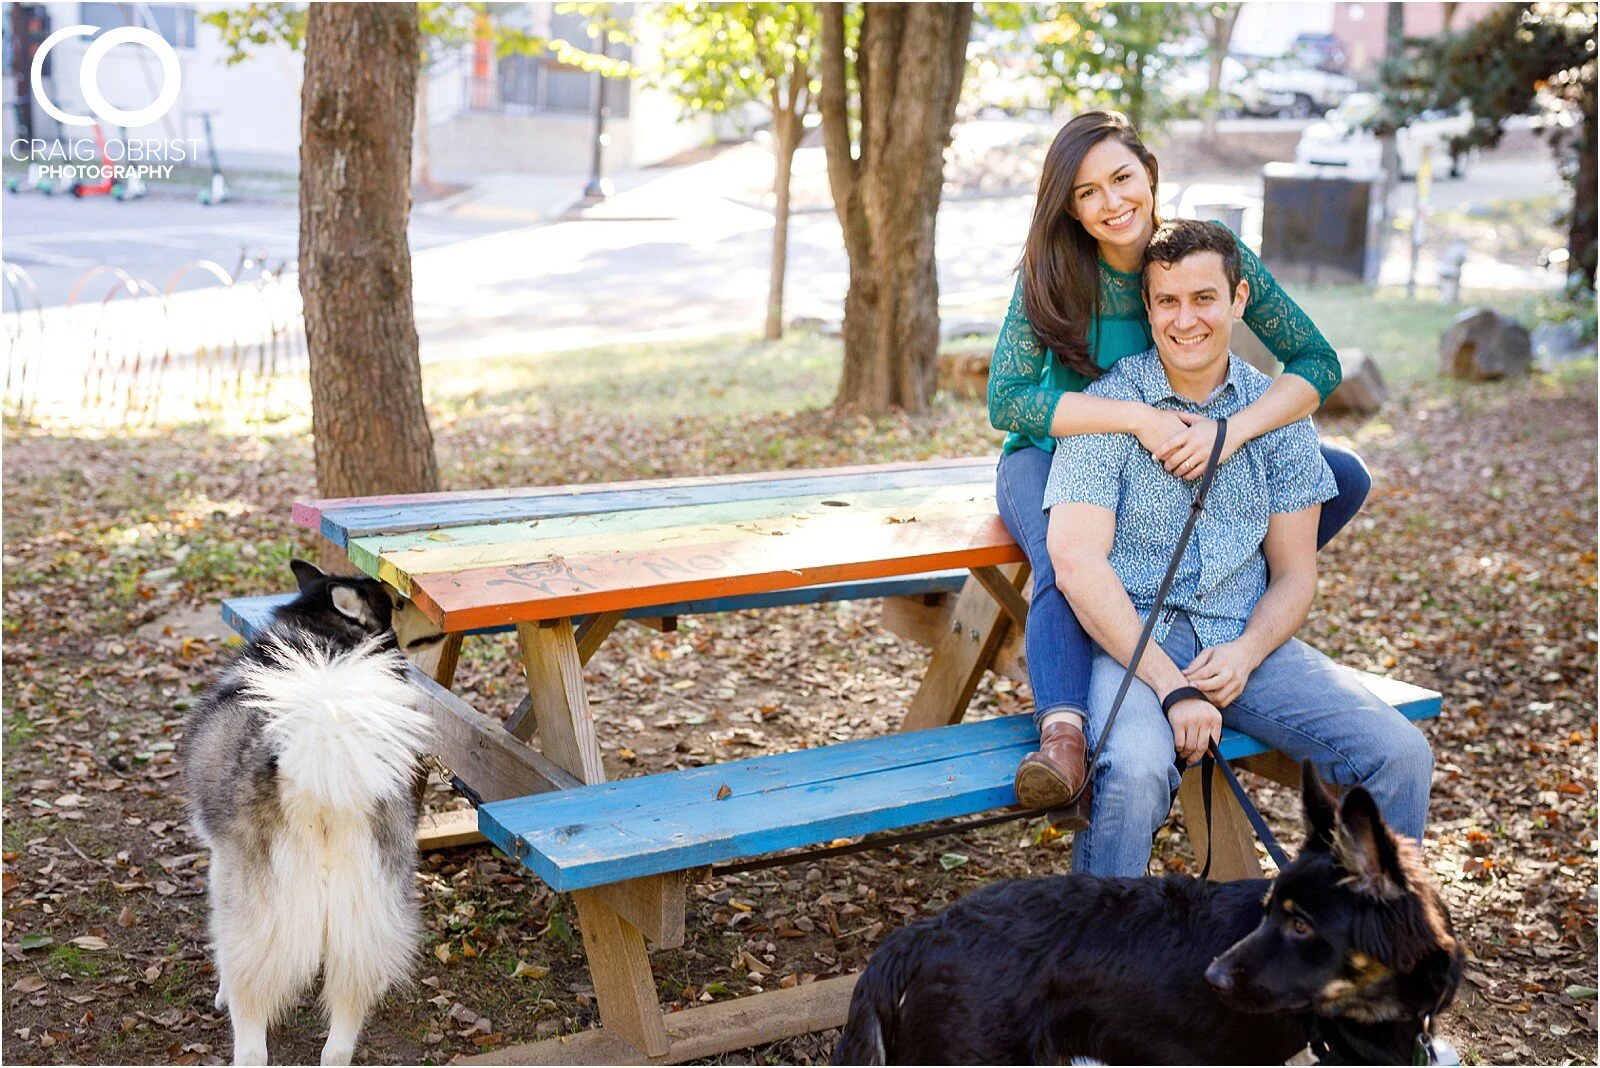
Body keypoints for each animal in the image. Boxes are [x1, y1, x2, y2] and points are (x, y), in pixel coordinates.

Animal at [183, 562, 438, 1061]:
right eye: (400, 602)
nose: (434, 610)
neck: (320, 633)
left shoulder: (220, 865)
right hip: (365, 912)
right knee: (341, 1031)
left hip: (259, 918)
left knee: (252, 1034)